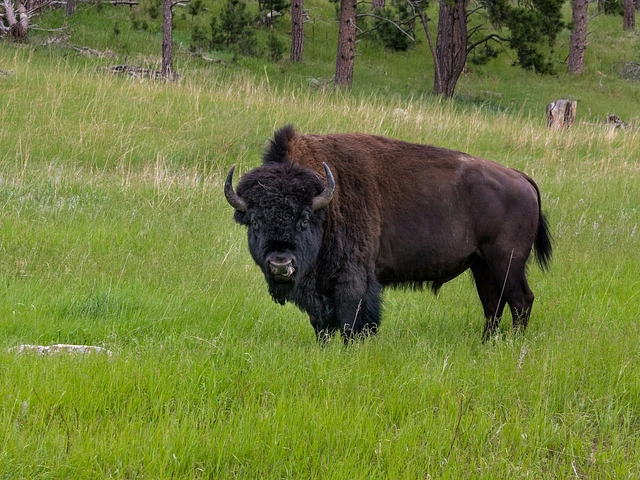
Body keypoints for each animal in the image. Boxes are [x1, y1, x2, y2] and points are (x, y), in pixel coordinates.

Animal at [225, 125, 552, 342]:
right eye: (255, 221)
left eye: (304, 219)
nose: (280, 264)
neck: (326, 204)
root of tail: (520, 177)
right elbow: (322, 325)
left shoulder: (353, 281)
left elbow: (352, 321)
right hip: (481, 264)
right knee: (492, 304)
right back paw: (487, 344)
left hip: (506, 262)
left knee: (521, 301)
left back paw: (513, 344)